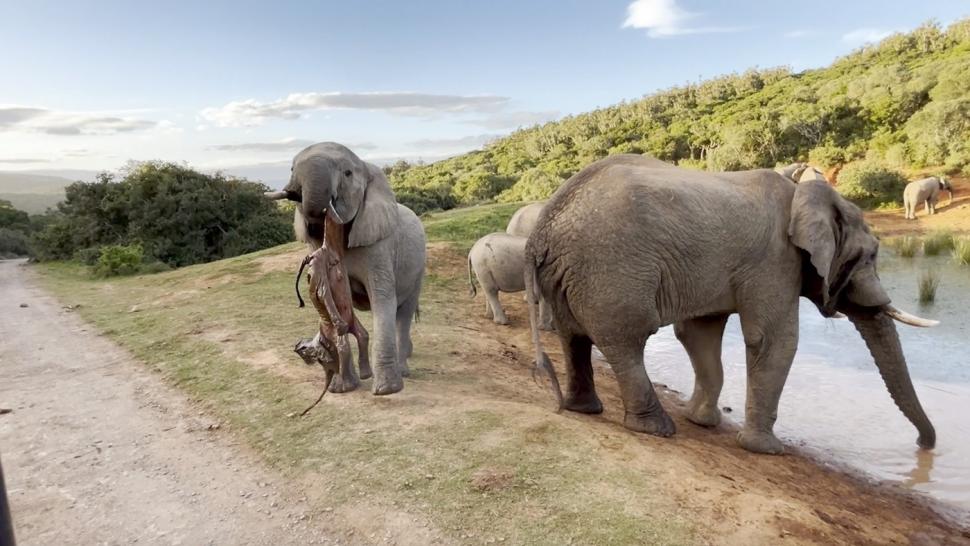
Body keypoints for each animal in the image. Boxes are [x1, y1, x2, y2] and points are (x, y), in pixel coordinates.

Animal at [266, 142, 426, 395]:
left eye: (348, 173)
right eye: (291, 168)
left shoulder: (379, 243)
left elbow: (382, 298)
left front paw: (385, 390)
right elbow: (334, 298)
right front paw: (343, 387)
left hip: (418, 268)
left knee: (403, 313)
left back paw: (403, 372)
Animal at [525, 153, 939, 455]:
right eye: (868, 257)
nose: (925, 445)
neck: (805, 193)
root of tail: (543, 227)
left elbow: (700, 333)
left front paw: (703, 422)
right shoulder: (774, 260)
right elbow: (773, 340)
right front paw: (767, 450)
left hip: (571, 272)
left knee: (574, 337)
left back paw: (585, 409)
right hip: (611, 269)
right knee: (627, 339)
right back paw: (656, 428)